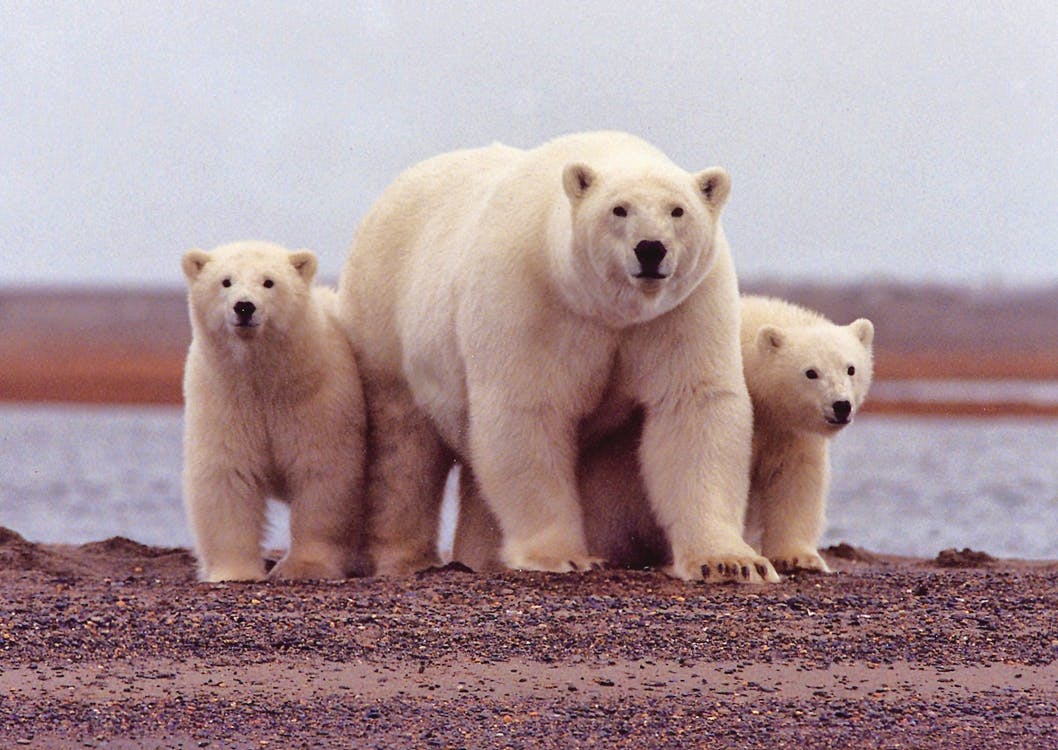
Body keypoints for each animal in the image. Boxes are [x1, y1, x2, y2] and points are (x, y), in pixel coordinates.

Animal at [181, 240, 367, 582]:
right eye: (225, 281)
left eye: (269, 282)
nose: (244, 307)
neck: (265, 379)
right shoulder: (223, 399)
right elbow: (228, 475)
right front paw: (235, 571)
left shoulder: (317, 399)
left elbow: (322, 474)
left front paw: (304, 567)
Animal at [338, 131, 778, 584]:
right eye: (619, 209)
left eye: (678, 210)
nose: (651, 249)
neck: (606, 309)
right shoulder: (532, 298)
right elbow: (528, 411)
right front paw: (562, 555)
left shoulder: (683, 309)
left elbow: (693, 406)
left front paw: (731, 562)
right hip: (386, 319)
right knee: (403, 449)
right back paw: (405, 557)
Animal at [452, 294, 874, 576]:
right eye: (810, 372)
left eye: (851, 368)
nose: (840, 406)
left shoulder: (787, 430)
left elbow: (795, 479)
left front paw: (799, 557)